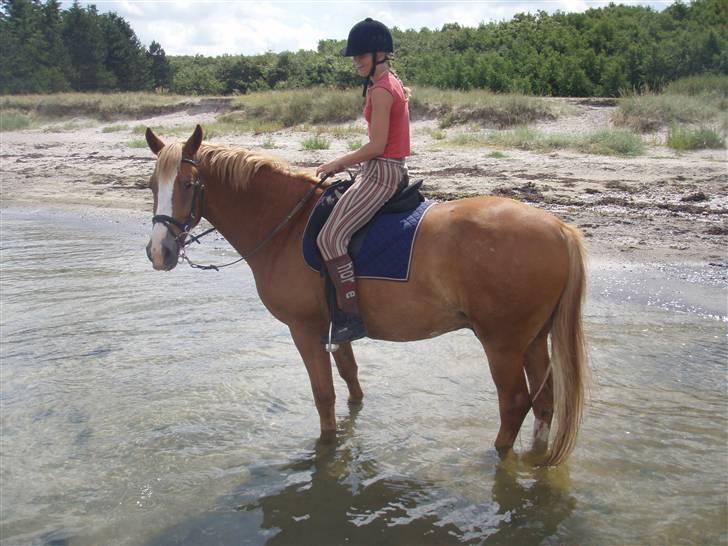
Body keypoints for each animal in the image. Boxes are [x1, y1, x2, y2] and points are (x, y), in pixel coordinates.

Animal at [145, 125, 588, 466]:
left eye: (188, 185)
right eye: (152, 186)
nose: (158, 252)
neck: (286, 225)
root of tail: (559, 229)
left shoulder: (304, 330)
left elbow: (323, 395)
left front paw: (325, 451)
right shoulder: (335, 327)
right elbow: (350, 380)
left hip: (503, 344)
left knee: (514, 403)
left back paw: (497, 461)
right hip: (533, 340)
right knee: (544, 402)